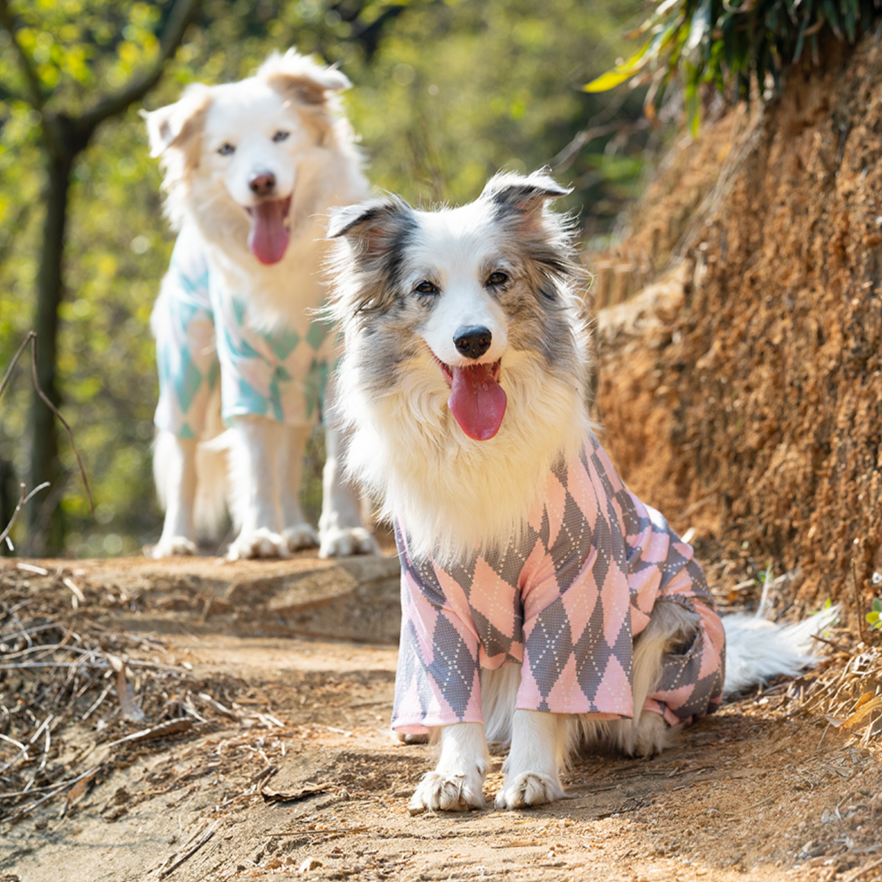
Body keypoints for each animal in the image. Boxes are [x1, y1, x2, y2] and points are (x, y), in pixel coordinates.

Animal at [144, 49, 374, 556]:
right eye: (225, 149)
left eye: (281, 136)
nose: (262, 181)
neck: (283, 263)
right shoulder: (245, 369)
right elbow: (255, 467)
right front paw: (258, 537)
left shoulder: (339, 363)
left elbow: (335, 463)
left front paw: (345, 532)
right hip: (186, 368)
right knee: (185, 458)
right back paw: (176, 540)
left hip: (291, 390)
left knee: (288, 452)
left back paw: (298, 530)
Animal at [326, 168, 836, 808]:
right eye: (425, 289)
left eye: (498, 279)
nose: (473, 340)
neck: (478, 445)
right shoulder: (432, 601)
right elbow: (453, 694)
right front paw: (454, 776)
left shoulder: (575, 589)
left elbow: (546, 695)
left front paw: (531, 775)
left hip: (678, 623)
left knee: (657, 700)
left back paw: (642, 730)